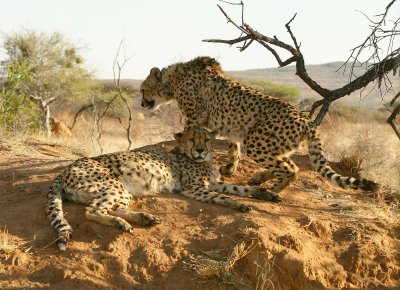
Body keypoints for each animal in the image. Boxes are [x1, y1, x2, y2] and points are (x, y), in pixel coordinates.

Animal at [47, 127, 278, 251]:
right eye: (192, 139)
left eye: (207, 140)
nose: (200, 150)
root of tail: (65, 169)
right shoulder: (195, 189)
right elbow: (220, 196)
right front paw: (238, 204)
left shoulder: (212, 182)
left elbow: (238, 187)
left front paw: (264, 193)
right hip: (113, 184)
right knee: (93, 210)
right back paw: (120, 223)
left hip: (123, 190)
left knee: (113, 207)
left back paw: (142, 218)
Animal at [142, 55, 380, 196]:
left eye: (144, 89)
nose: (142, 103)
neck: (172, 79)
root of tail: (305, 119)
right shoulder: (232, 127)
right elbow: (232, 147)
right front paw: (229, 168)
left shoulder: (196, 114)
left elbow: (188, 134)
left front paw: (179, 150)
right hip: (272, 144)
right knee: (286, 163)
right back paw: (260, 178)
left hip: (256, 142)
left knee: (291, 168)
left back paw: (273, 190)